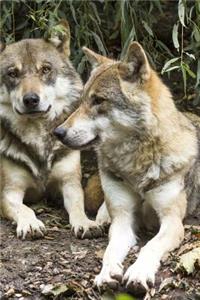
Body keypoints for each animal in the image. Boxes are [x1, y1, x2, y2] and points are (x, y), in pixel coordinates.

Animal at [0, 21, 102, 240]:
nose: (31, 99)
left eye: (45, 69)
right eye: (12, 73)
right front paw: (30, 224)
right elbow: (25, 209)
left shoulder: (70, 183)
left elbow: (77, 206)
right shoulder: (8, 192)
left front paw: (85, 223)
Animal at [54, 43, 200, 294]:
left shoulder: (172, 222)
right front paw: (106, 274)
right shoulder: (123, 219)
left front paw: (139, 273)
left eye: (98, 100)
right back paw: (102, 218)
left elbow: (150, 246)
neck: (135, 166)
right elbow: (110, 250)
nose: (58, 132)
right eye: (82, 100)